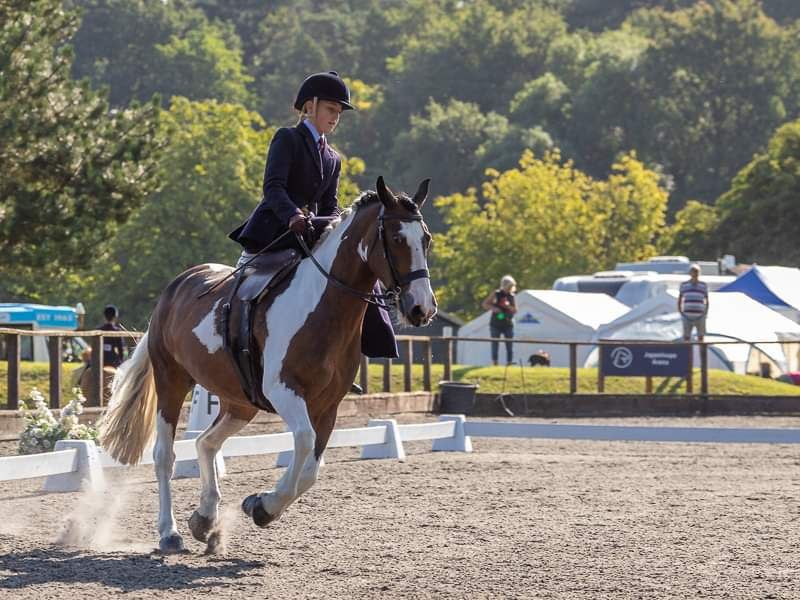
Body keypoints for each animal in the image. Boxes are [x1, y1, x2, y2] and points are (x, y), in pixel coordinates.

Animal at [101, 177, 438, 552]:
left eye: (426, 239)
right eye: (396, 239)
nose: (422, 309)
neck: (322, 307)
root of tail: (175, 287)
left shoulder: (328, 406)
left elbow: (311, 470)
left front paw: (259, 505)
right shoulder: (284, 390)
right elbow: (303, 441)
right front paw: (263, 506)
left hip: (240, 403)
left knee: (206, 443)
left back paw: (205, 520)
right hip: (171, 380)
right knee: (165, 455)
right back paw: (169, 532)